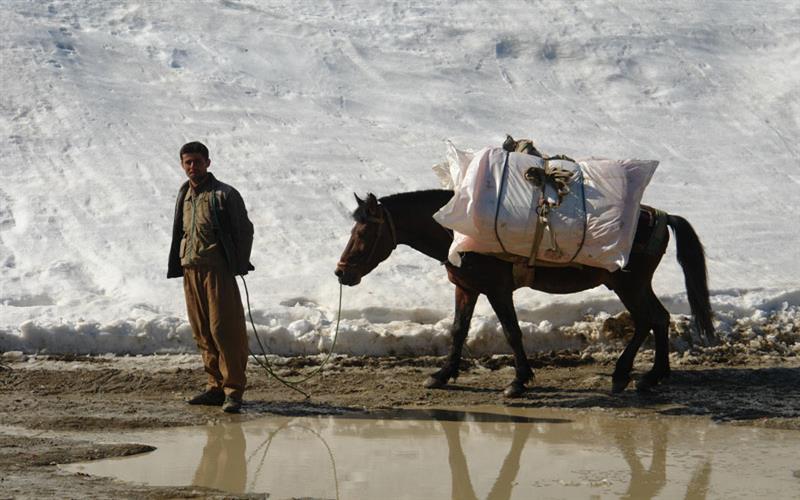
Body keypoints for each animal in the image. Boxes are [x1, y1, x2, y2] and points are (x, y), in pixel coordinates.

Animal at [334, 189, 716, 396]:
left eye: (364, 233)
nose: (341, 273)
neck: (461, 232)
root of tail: (661, 216)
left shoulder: (499, 290)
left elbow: (512, 332)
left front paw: (519, 381)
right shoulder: (466, 288)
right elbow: (458, 330)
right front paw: (442, 375)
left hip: (629, 283)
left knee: (649, 319)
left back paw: (635, 375)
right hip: (631, 284)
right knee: (656, 319)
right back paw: (644, 376)